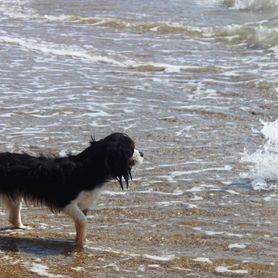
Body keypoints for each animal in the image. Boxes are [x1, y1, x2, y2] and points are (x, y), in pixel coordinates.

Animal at [0, 132, 143, 248]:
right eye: (131, 150)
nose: (142, 153)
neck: (88, 166)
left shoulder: (83, 203)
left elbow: (79, 225)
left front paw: (81, 241)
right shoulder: (66, 202)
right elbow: (83, 221)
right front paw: (81, 245)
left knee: (13, 217)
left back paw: (23, 227)